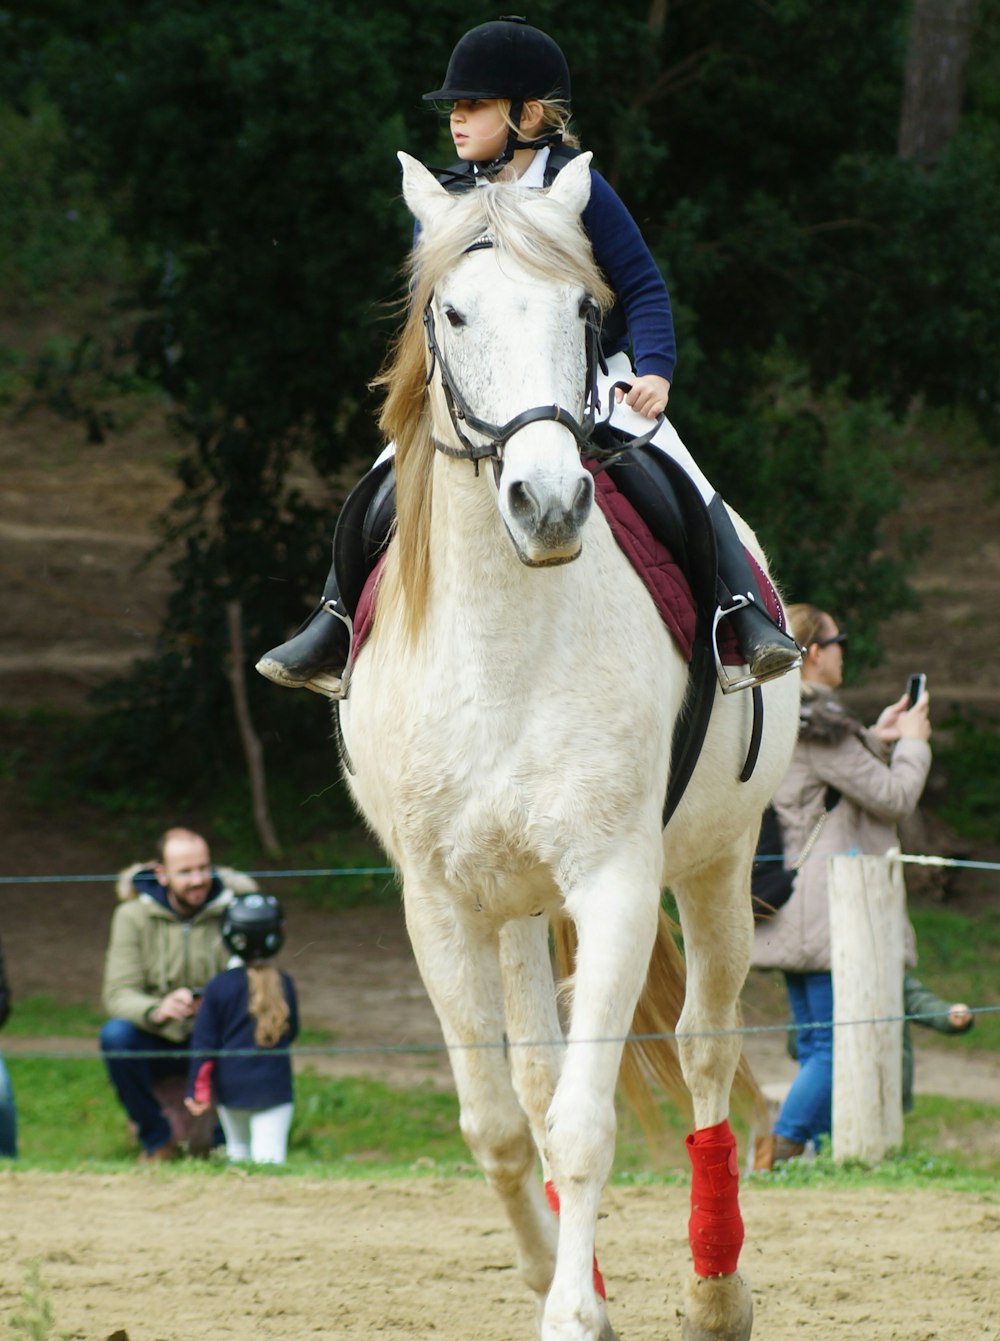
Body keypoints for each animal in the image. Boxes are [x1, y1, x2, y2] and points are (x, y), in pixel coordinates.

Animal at [339, 152, 798, 1335]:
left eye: (583, 311)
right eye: (451, 312)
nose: (546, 502)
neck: (505, 646)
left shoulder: (616, 884)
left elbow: (587, 1125)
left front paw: (573, 1313)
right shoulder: (442, 905)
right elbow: (503, 1125)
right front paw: (562, 1280)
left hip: (716, 866)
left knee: (705, 1049)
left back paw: (715, 1290)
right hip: (513, 906)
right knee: (541, 1084)